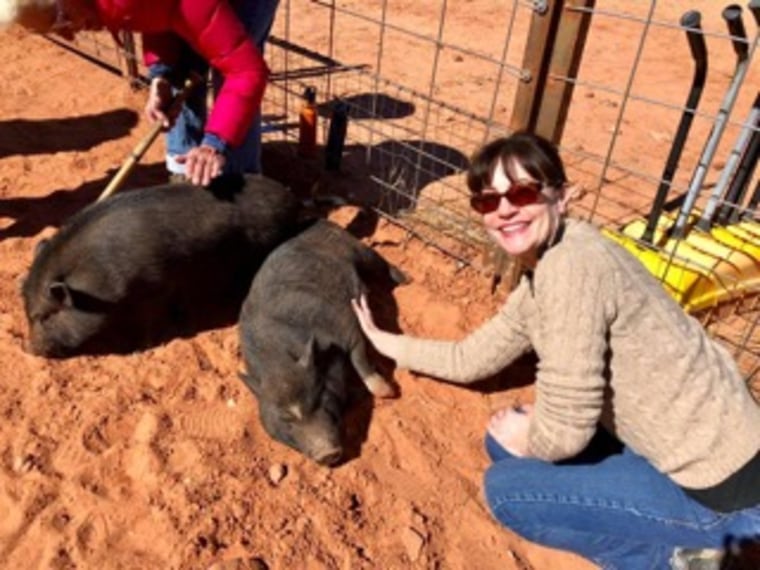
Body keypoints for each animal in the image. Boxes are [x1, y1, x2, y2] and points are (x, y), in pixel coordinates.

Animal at [23, 174, 302, 356]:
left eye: (44, 316)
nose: (30, 350)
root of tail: (292, 198)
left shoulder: (153, 287)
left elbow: (148, 321)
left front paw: (138, 349)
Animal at [239, 219, 406, 466]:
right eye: (286, 419)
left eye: (318, 400)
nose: (326, 454)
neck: (279, 358)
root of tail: (319, 222)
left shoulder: (345, 325)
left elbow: (360, 357)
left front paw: (387, 392)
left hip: (357, 248)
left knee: (381, 264)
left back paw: (407, 280)